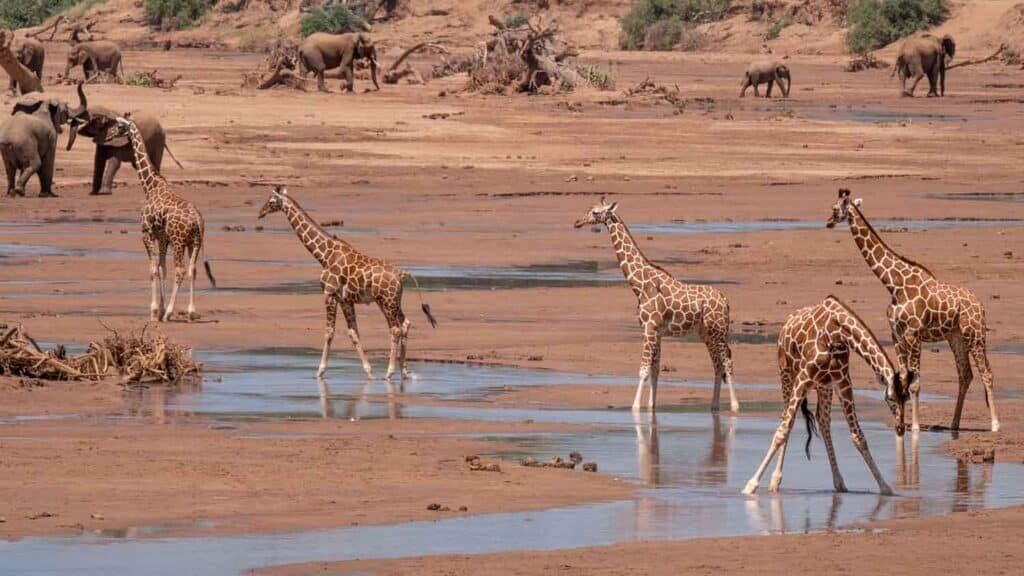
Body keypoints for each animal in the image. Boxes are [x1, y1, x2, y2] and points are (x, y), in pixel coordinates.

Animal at [113, 116, 215, 322]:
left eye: (119, 125)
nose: (110, 134)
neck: (150, 186)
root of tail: (197, 219)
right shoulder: (162, 238)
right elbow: (162, 268)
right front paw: (159, 309)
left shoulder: (146, 233)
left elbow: (153, 270)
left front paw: (155, 311)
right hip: (195, 242)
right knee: (192, 269)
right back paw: (191, 312)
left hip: (179, 241)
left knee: (181, 269)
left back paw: (170, 313)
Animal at [258, 186, 437, 380]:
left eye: (271, 201)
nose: (260, 212)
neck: (324, 255)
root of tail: (401, 273)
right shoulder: (345, 300)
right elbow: (353, 333)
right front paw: (369, 371)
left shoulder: (329, 294)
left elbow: (329, 332)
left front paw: (319, 371)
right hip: (393, 301)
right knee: (405, 324)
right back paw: (405, 371)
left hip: (386, 301)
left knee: (395, 329)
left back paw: (389, 372)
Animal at [574, 199, 739, 413]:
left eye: (595, 212)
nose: (577, 222)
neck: (639, 285)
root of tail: (725, 301)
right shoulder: (656, 331)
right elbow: (655, 370)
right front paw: (651, 406)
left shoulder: (650, 328)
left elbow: (643, 370)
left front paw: (635, 407)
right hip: (706, 332)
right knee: (717, 364)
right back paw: (714, 405)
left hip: (717, 330)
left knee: (727, 360)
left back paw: (734, 406)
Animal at [743, 296, 907, 496]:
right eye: (890, 398)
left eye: (906, 397)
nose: (900, 427)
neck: (837, 333)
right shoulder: (804, 377)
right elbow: (783, 431)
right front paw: (751, 485)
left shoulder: (843, 382)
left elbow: (858, 437)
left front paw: (885, 487)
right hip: (787, 374)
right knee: (786, 419)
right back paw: (775, 481)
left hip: (823, 387)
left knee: (823, 421)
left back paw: (839, 481)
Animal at [827, 188, 999, 432]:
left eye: (835, 209)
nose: (828, 222)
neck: (894, 284)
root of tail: (980, 305)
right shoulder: (897, 335)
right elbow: (902, 380)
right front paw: (902, 423)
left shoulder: (913, 334)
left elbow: (915, 384)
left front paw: (916, 426)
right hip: (955, 336)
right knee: (965, 374)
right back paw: (954, 423)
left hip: (974, 333)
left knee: (986, 372)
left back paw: (994, 424)